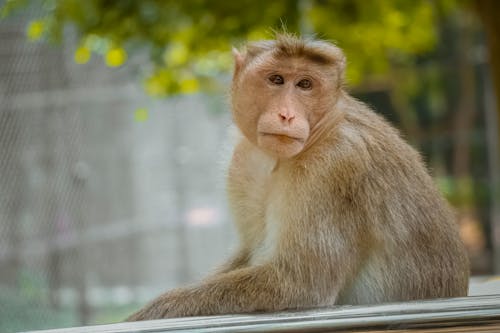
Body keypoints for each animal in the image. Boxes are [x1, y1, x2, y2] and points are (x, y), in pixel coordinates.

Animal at [125, 33, 468, 320]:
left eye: (305, 84)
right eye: (276, 79)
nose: (286, 115)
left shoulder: (333, 168)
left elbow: (297, 282)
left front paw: (150, 312)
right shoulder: (243, 159)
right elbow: (250, 252)